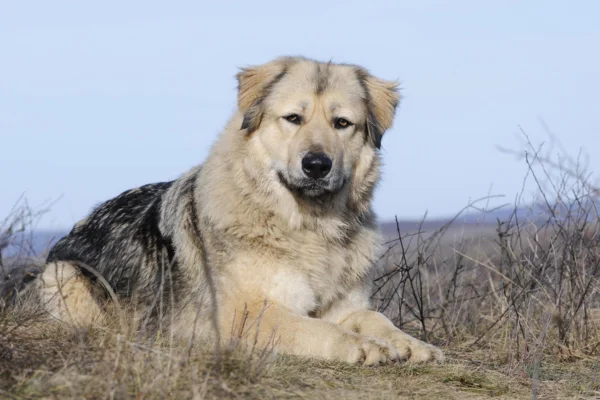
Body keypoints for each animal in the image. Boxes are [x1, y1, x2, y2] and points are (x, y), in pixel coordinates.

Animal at [35, 55, 442, 366]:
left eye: (342, 124)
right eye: (293, 118)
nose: (316, 165)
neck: (310, 229)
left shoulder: (345, 305)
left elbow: (372, 316)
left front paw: (411, 343)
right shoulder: (246, 315)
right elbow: (317, 328)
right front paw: (363, 346)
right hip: (62, 275)